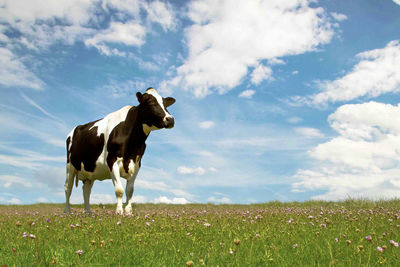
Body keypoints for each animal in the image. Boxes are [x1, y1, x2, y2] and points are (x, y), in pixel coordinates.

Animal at [64, 88, 175, 216]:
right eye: (150, 102)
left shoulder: (137, 164)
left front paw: (128, 212)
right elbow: (119, 190)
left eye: (165, 103)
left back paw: (88, 213)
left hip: (90, 171)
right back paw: (67, 211)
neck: (133, 144)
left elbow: (130, 190)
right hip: (70, 166)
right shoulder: (112, 161)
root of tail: (75, 129)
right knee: (68, 188)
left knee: (86, 190)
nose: (170, 119)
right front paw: (119, 211)